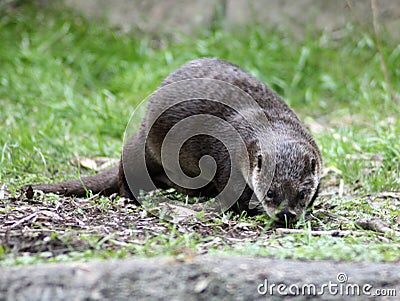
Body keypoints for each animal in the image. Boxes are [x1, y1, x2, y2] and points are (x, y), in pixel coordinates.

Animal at [28, 58, 322, 223]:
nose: (286, 215)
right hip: (141, 144)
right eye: (270, 193)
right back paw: (133, 196)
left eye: (302, 193)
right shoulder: (226, 153)